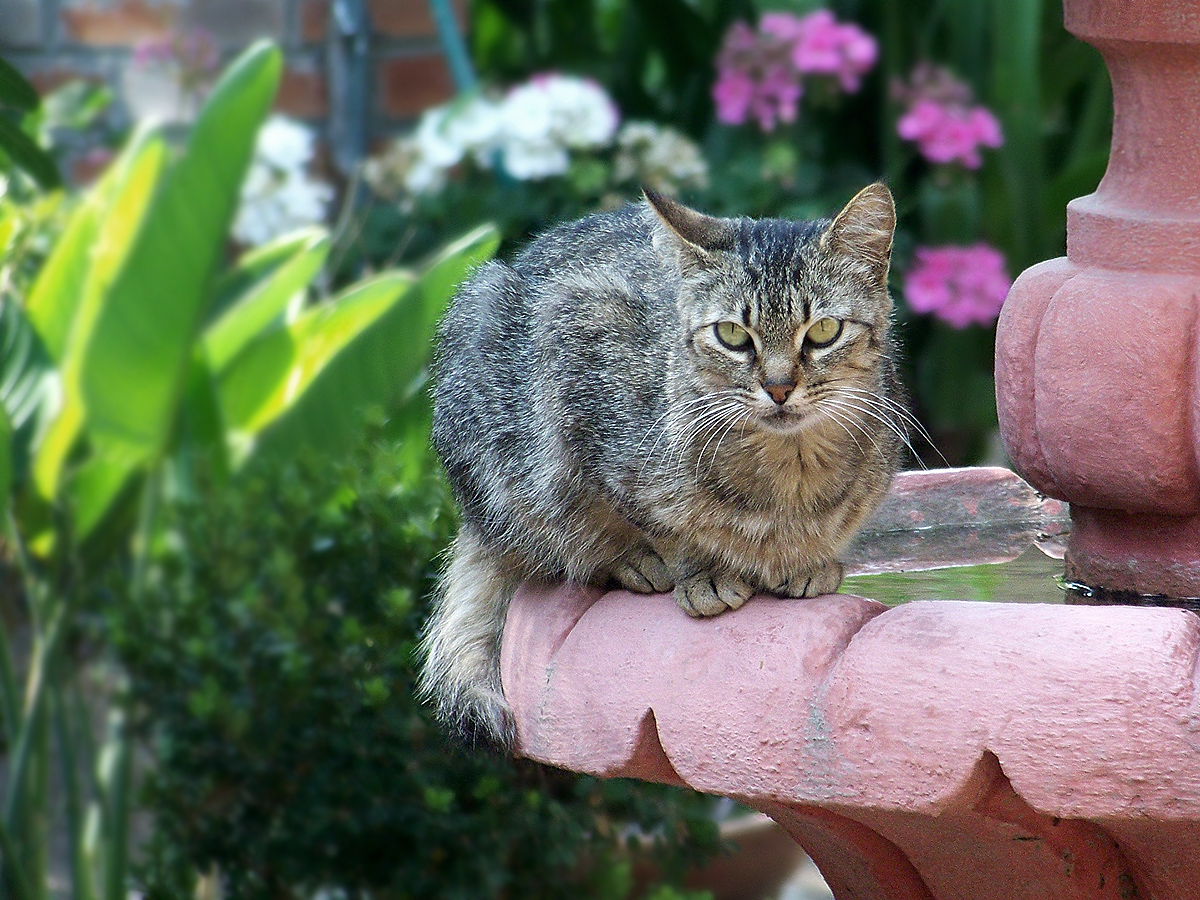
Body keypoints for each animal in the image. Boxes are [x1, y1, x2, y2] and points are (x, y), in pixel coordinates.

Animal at [420, 181, 902, 748]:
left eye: (824, 330)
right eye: (732, 335)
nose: (779, 387)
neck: (789, 476)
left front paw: (809, 562)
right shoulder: (576, 340)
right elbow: (653, 521)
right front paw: (698, 570)